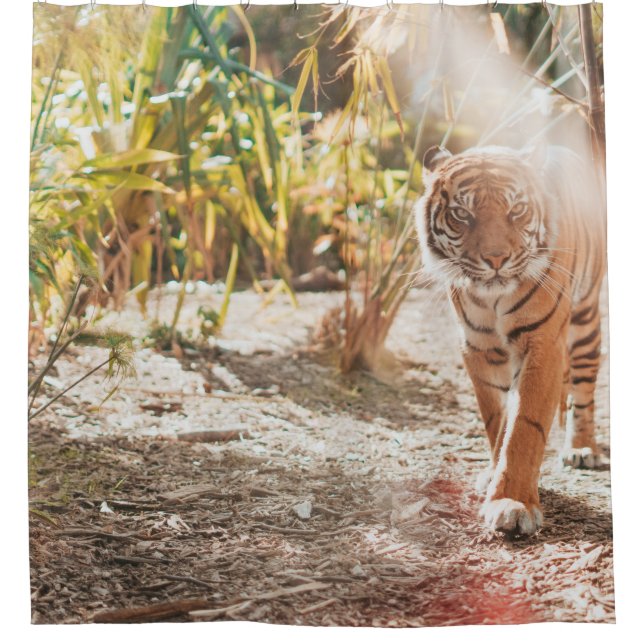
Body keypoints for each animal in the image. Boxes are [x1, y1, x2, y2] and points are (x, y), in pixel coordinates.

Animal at [414, 143, 606, 535]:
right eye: (462, 214)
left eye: (516, 210)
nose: (496, 259)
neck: (492, 299)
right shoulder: (478, 349)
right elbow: (497, 422)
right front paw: (493, 476)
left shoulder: (542, 344)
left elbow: (524, 427)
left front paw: (512, 503)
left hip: (585, 323)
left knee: (583, 391)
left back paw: (582, 449)